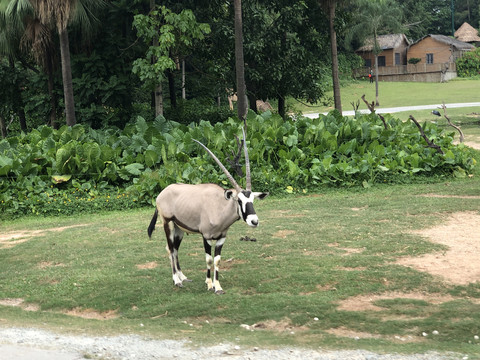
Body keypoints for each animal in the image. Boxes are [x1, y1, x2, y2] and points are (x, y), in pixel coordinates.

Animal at [147, 128, 266, 294]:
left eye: (252, 200)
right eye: (239, 200)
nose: (254, 221)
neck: (220, 207)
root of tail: (162, 192)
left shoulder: (221, 238)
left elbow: (217, 260)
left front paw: (218, 286)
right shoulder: (206, 236)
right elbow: (209, 259)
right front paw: (209, 284)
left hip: (179, 228)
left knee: (175, 249)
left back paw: (183, 277)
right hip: (167, 223)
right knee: (170, 248)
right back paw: (176, 280)